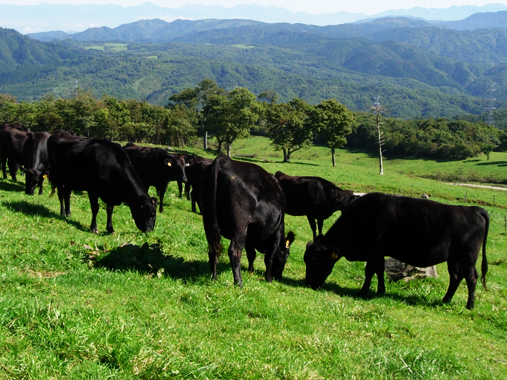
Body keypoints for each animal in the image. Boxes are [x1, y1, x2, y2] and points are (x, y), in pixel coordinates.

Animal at [200, 154, 296, 284]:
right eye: (287, 254)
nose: (279, 277)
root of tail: (226, 161)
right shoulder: (276, 232)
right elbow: (269, 257)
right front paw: (269, 279)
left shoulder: (249, 236)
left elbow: (252, 254)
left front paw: (251, 270)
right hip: (240, 225)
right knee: (234, 251)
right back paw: (238, 282)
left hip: (208, 220)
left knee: (213, 248)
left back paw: (214, 277)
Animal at [304, 193, 490, 308]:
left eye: (315, 261)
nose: (308, 284)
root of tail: (472, 209)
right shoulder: (379, 253)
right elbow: (379, 270)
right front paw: (380, 290)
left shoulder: (374, 252)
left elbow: (369, 271)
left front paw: (363, 292)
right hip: (454, 259)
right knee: (456, 278)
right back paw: (446, 299)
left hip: (468, 258)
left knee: (471, 279)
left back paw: (470, 305)